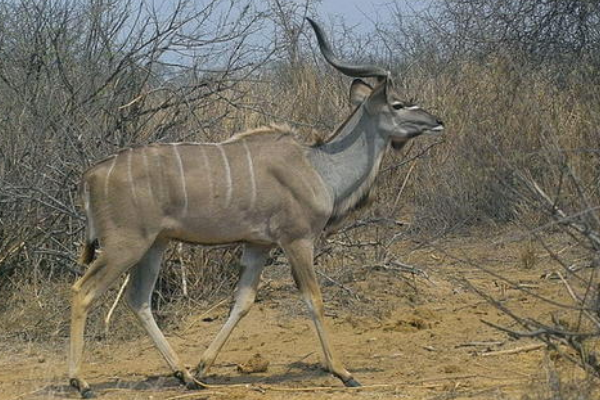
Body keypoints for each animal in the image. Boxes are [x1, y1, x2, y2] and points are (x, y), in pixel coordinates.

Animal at [69, 18, 446, 396]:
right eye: (398, 104)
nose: (437, 121)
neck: (318, 166)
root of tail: (91, 174)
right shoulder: (297, 240)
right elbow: (314, 299)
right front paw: (343, 371)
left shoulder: (258, 245)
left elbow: (243, 303)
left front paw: (203, 367)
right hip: (126, 245)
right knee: (83, 291)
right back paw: (80, 381)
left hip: (154, 244)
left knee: (139, 300)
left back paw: (184, 375)